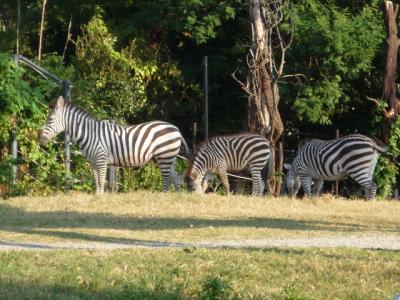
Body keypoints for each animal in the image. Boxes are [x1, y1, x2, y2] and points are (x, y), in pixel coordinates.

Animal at [39, 96, 190, 195]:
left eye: (50, 119)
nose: (40, 139)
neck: (89, 134)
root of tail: (176, 129)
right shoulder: (92, 162)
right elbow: (96, 181)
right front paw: (97, 198)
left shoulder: (101, 159)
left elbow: (101, 181)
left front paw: (101, 199)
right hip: (167, 158)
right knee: (176, 177)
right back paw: (175, 197)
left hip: (164, 155)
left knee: (167, 179)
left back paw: (163, 196)